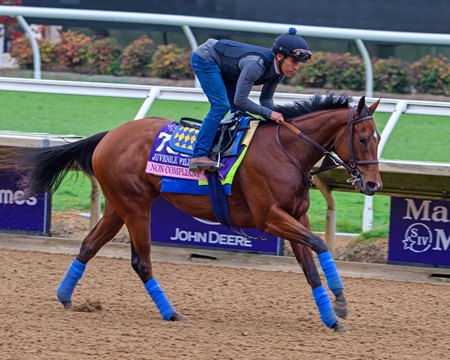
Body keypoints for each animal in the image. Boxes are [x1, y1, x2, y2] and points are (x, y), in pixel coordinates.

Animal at [0, 93, 382, 332]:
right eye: (363, 139)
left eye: (378, 138)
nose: (373, 185)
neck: (285, 150)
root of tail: (110, 134)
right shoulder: (269, 217)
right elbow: (319, 244)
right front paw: (341, 300)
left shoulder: (295, 216)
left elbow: (310, 267)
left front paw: (332, 317)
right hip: (136, 206)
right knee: (141, 261)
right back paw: (170, 313)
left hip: (118, 206)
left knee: (88, 246)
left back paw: (66, 297)